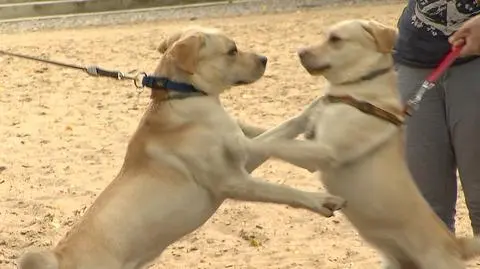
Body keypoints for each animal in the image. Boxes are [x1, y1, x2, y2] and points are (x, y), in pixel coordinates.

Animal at [15, 25, 344, 268]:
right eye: (232, 50)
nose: (265, 58)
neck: (184, 95)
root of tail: (59, 258)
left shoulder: (243, 152)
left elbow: (279, 133)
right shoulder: (233, 178)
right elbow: (281, 182)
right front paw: (321, 200)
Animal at [249, 19, 480, 266]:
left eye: (335, 39)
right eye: (323, 36)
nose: (300, 52)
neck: (355, 90)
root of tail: (455, 243)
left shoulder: (324, 151)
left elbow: (271, 144)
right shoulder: (305, 130)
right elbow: (267, 135)